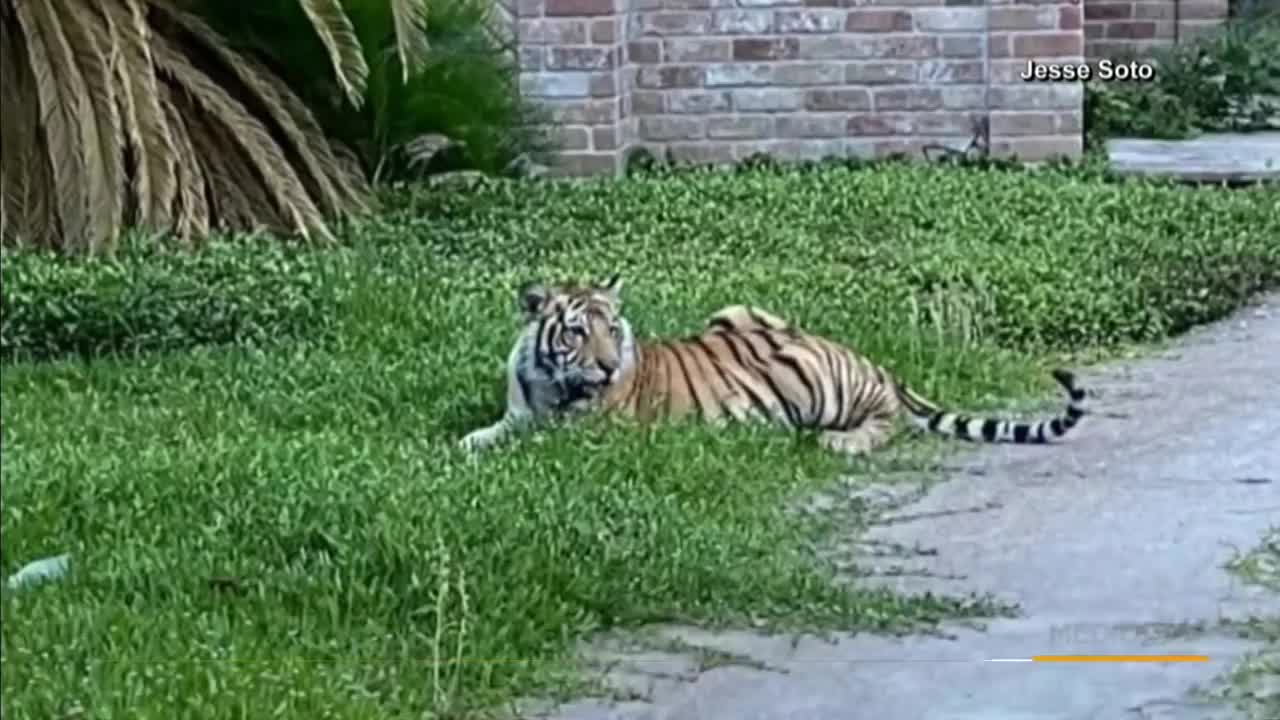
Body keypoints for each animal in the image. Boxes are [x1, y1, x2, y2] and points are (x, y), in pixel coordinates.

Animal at [460, 274, 1090, 453]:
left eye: (612, 330)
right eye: (576, 332)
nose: (610, 367)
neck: (547, 382)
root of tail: (874, 362)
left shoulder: (590, 432)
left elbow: (535, 443)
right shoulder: (518, 413)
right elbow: (485, 434)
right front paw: (463, 444)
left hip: (819, 382)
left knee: (888, 421)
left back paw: (841, 442)